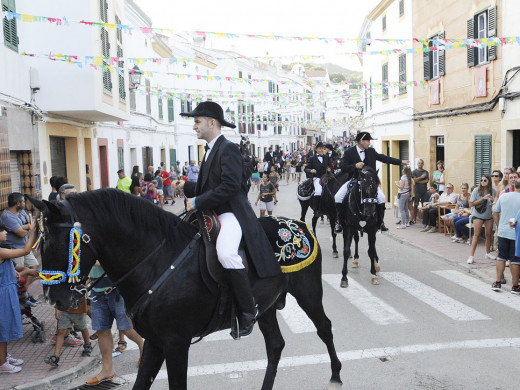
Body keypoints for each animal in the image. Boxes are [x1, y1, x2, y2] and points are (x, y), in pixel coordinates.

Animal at [27, 188, 342, 386]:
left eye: (57, 242)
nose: (53, 298)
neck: (158, 261)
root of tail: (299, 224)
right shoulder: (155, 341)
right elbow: (142, 382)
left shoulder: (176, 343)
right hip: (264, 308)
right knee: (275, 345)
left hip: (308, 294)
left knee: (325, 327)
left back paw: (336, 373)